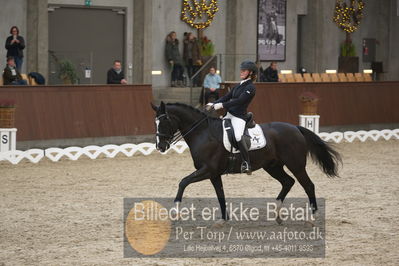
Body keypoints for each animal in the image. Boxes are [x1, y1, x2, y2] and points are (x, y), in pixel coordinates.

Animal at [152, 102, 342, 222]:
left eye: (164, 121)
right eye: (155, 122)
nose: (160, 146)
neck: (203, 133)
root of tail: (295, 128)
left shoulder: (208, 170)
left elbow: (183, 182)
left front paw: (175, 210)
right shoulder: (214, 174)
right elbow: (220, 194)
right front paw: (223, 219)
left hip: (296, 165)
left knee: (308, 185)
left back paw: (312, 217)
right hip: (272, 166)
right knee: (288, 182)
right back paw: (276, 212)